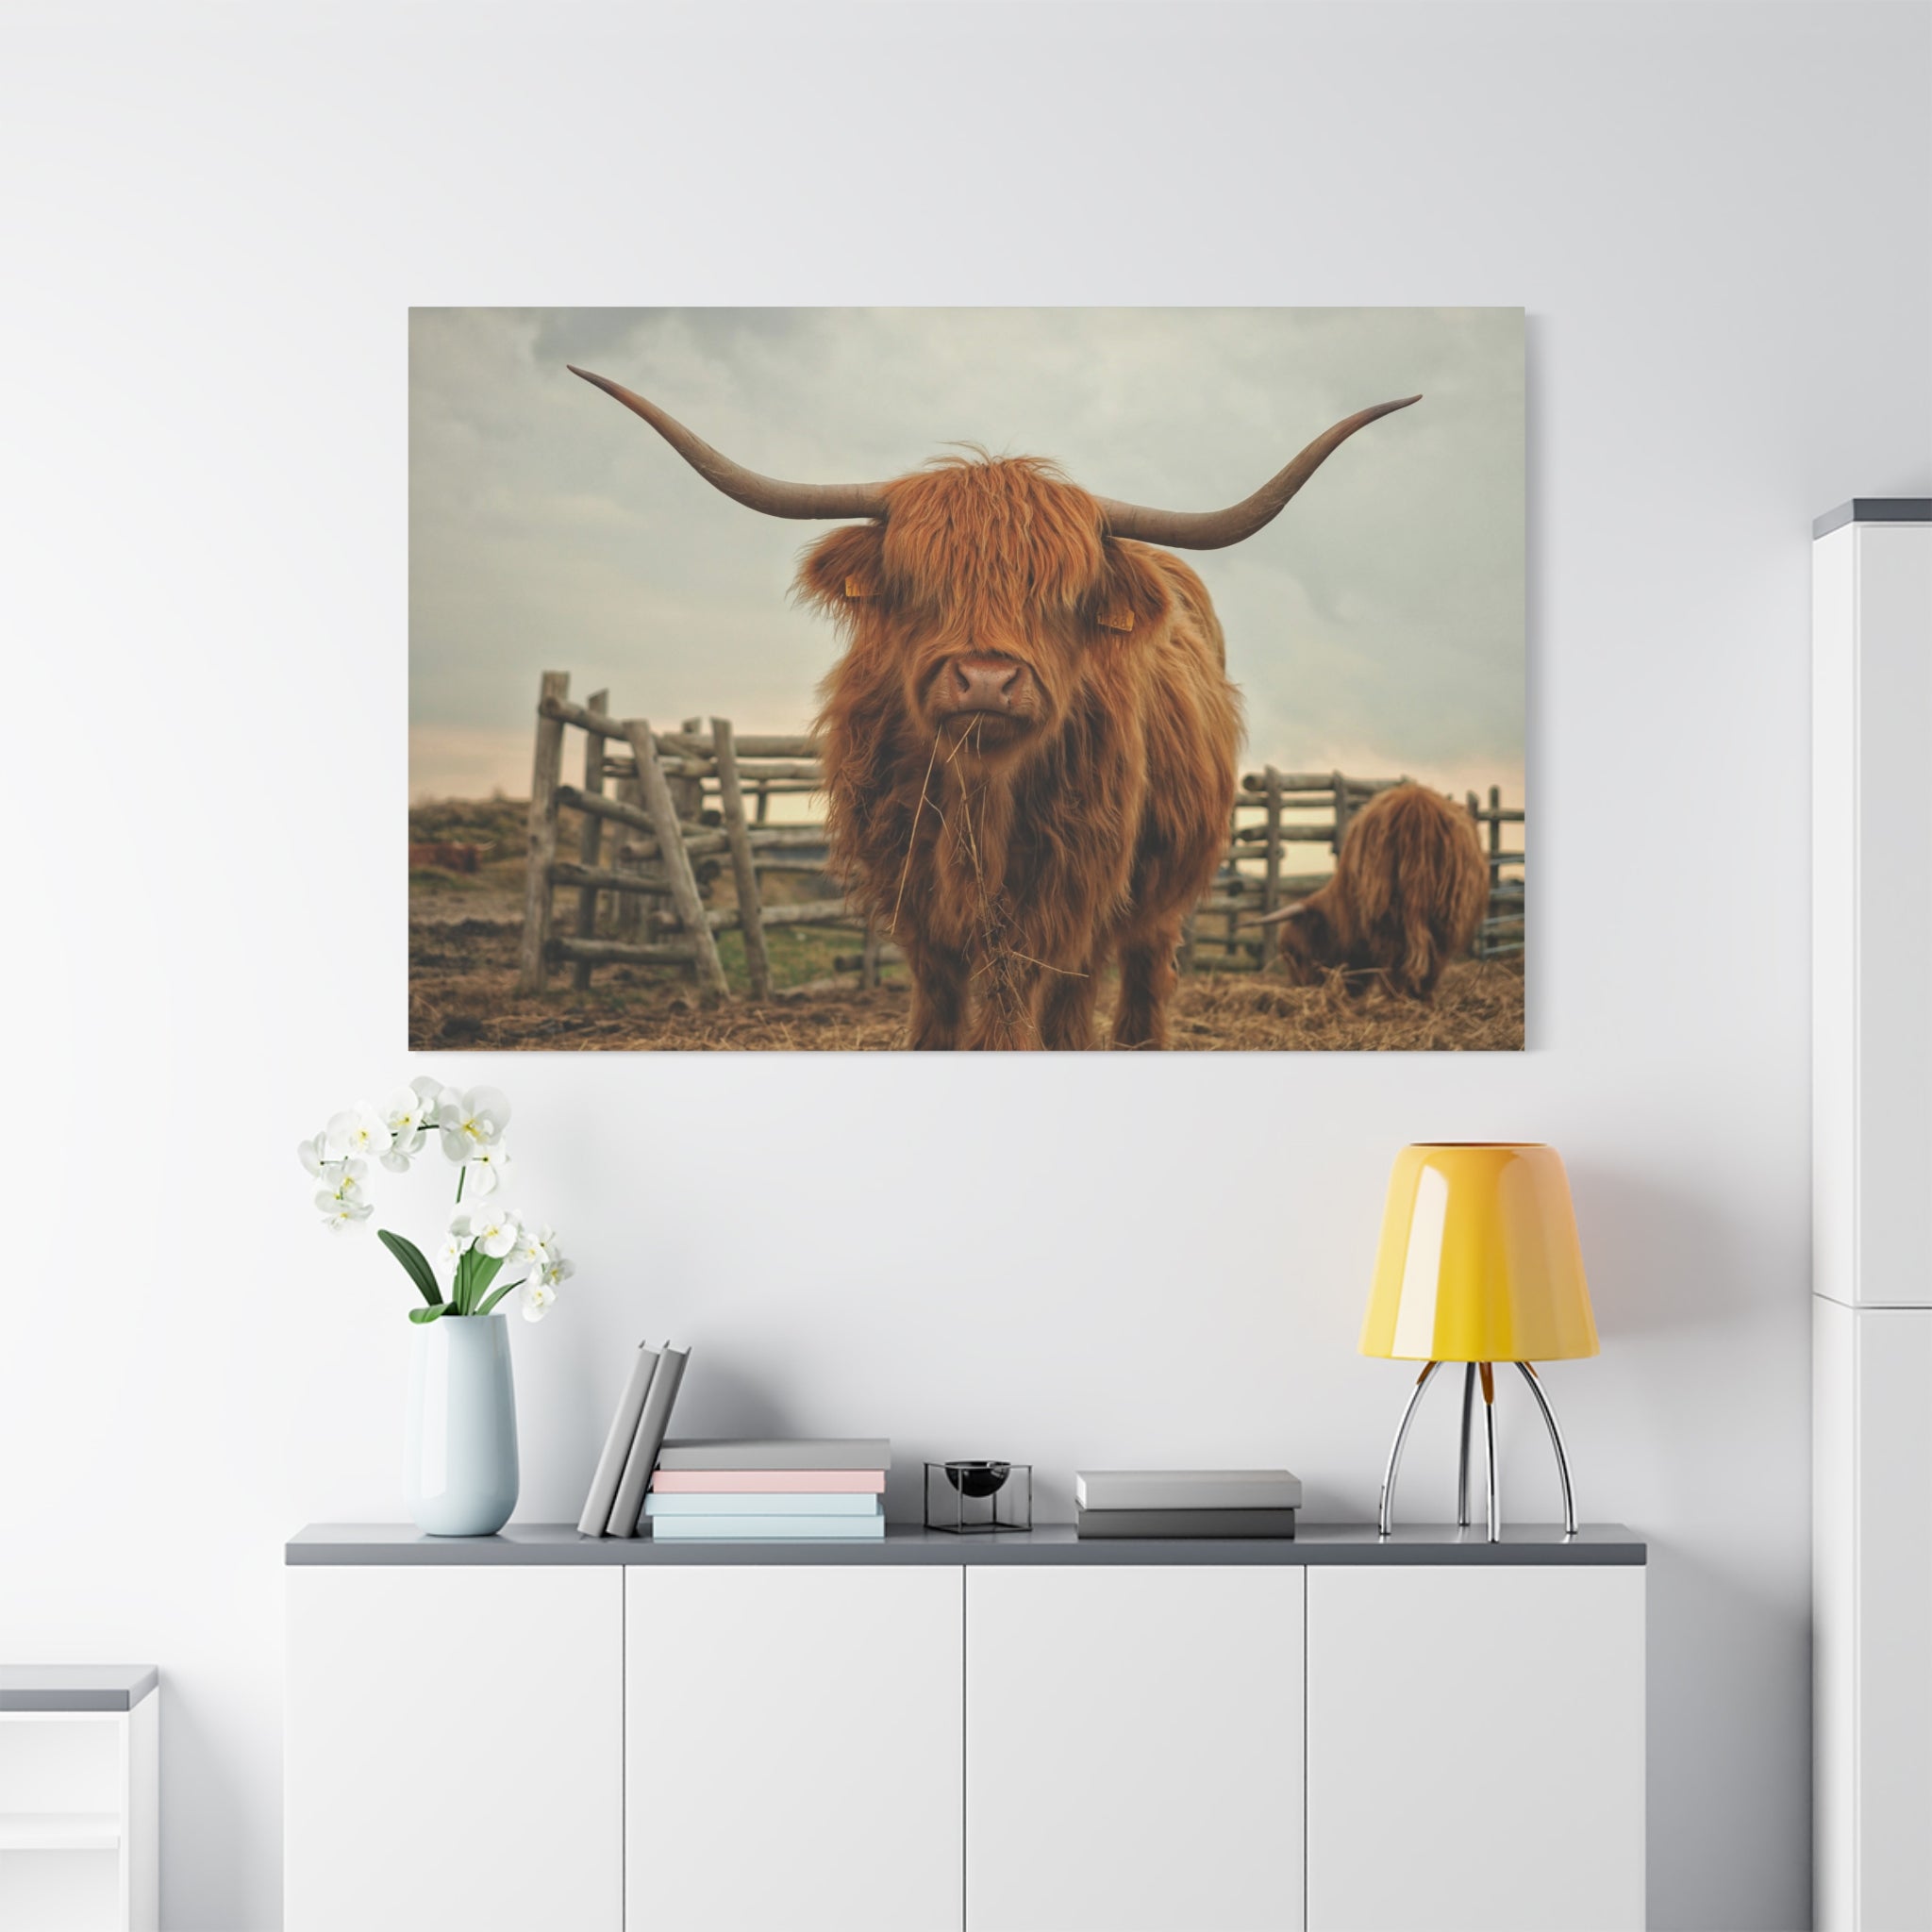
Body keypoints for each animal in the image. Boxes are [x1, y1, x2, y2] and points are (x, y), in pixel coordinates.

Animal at [571, 366, 1418, 1048]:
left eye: (1062, 595)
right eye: (919, 583)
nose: (984, 680)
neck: (978, 796)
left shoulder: (1061, 895)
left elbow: (1018, 1007)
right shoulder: (913, 898)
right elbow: (940, 1009)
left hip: (1154, 895)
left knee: (1126, 986)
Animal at [1255, 783, 1489, 1000]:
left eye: (1295, 954)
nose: (1301, 988)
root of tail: (1416, 804)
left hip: (1385, 907)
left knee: (1396, 953)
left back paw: (1395, 996)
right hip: (1447, 910)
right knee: (1433, 955)